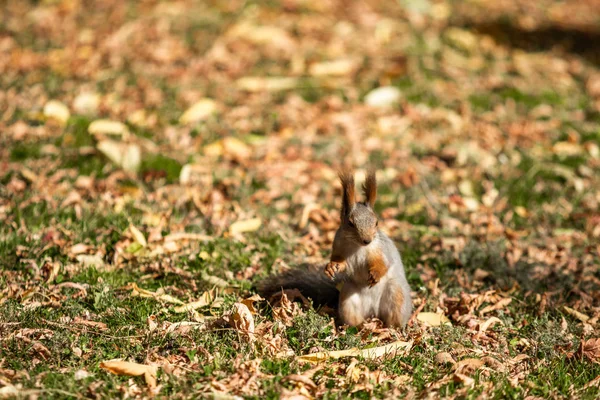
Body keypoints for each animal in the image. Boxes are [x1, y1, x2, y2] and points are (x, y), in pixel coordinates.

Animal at [258, 169, 412, 328]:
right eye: (350, 223)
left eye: (376, 222)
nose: (367, 240)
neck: (357, 246)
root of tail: (374, 312)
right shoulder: (339, 247)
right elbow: (343, 264)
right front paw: (332, 267)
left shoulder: (380, 249)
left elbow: (383, 263)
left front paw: (375, 273)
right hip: (347, 297)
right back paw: (357, 327)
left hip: (396, 295)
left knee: (394, 317)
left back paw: (391, 329)